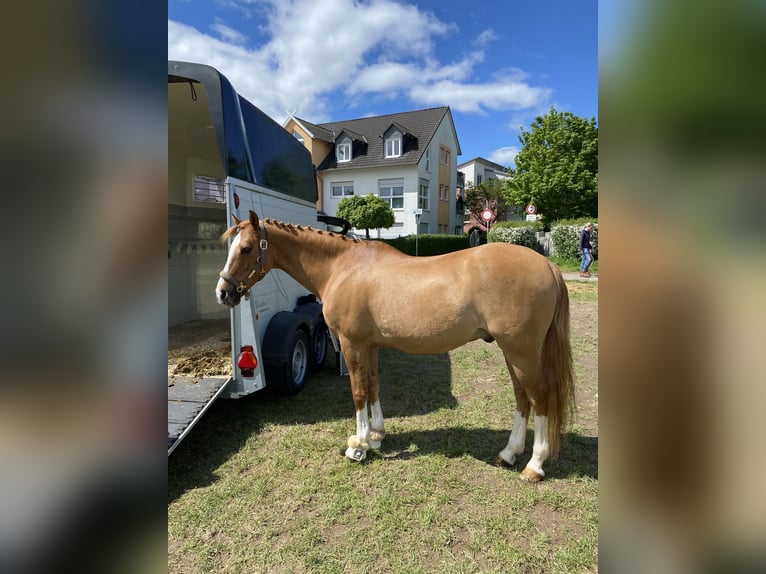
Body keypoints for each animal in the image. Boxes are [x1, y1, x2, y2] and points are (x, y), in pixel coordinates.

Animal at [216, 212, 576, 482]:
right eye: (231, 247)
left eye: (246, 248)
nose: (223, 292)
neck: (341, 268)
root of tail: (547, 265)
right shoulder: (370, 345)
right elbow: (374, 386)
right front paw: (377, 434)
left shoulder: (351, 345)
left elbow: (358, 392)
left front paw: (359, 445)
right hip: (514, 353)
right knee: (522, 398)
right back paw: (509, 453)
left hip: (521, 352)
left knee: (539, 398)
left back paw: (534, 465)